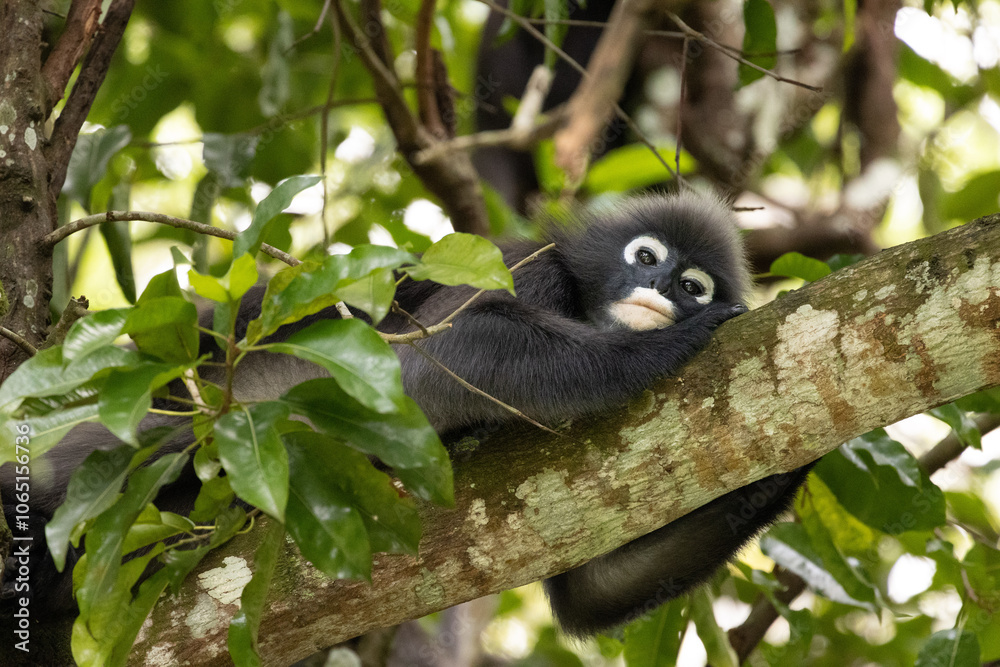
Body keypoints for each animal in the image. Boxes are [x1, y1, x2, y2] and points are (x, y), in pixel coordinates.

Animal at [1, 191, 810, 642]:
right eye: (647, 257)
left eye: (692, 283)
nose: (663, 293)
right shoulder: (532, 270)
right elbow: (427, 366)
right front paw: (666, 345)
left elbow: (588, 590)